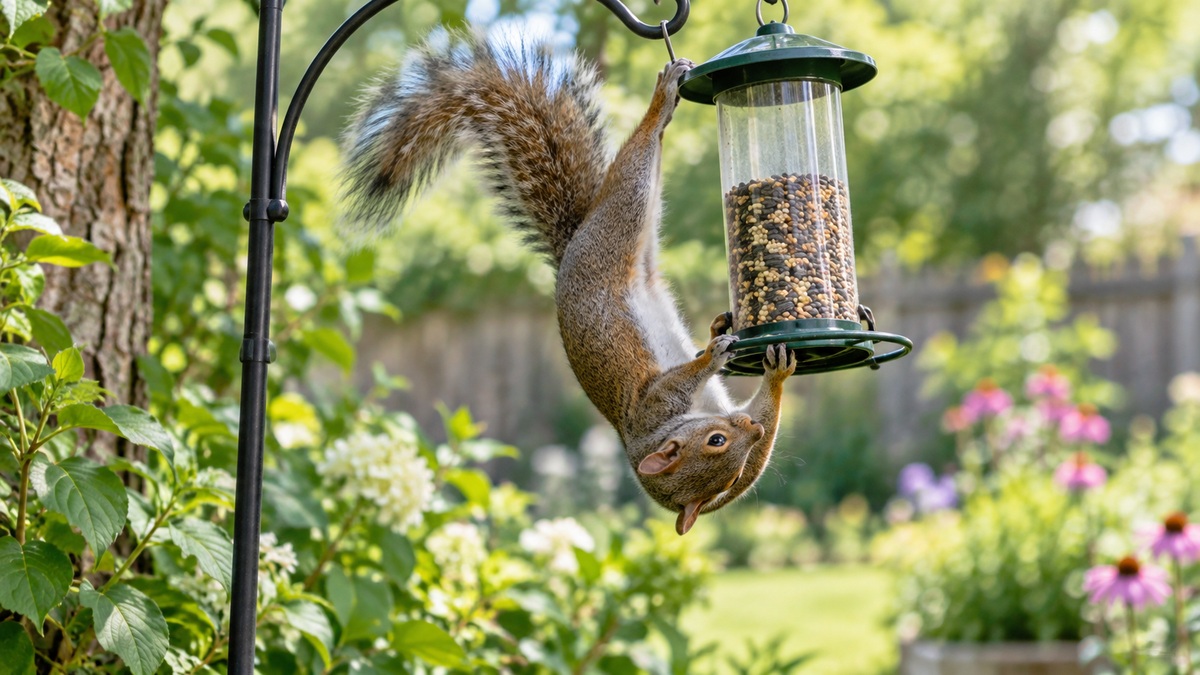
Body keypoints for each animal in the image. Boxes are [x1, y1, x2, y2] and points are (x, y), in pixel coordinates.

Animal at [339, 31, 797, 535]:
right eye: (716, 443)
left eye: (733, 475)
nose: (750, 432)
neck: (649, 435)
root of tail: (570, 253)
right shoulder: (655, 403)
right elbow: (680, 380)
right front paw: (719, 361)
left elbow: (761, 417)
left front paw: (775, 378)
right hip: (618, 227)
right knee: (636, 166)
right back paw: (661, 103)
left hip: (638, 246)